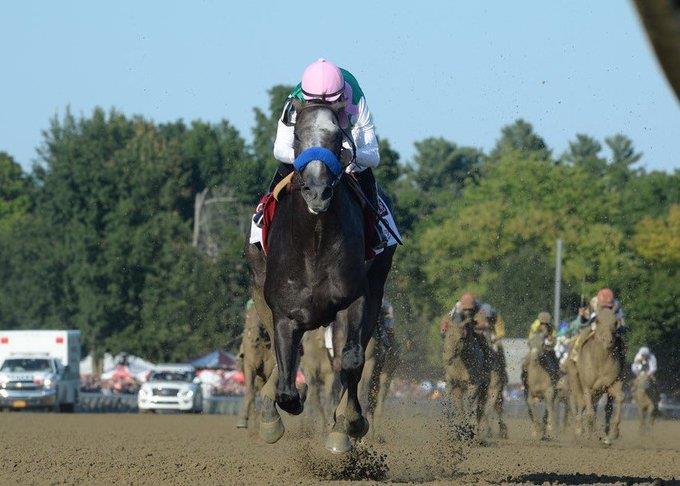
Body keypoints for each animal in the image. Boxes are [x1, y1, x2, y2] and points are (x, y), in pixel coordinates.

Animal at [246, 99, 396, 456]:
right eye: (297, 135)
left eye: (337, 135)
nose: (317, 191)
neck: (314, 240)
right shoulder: (285, 313)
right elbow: (288, 388)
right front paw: (278, 414)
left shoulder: (353, 300)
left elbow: (352, 362)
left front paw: (348, 425)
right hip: (260, 290)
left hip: (375, 290)